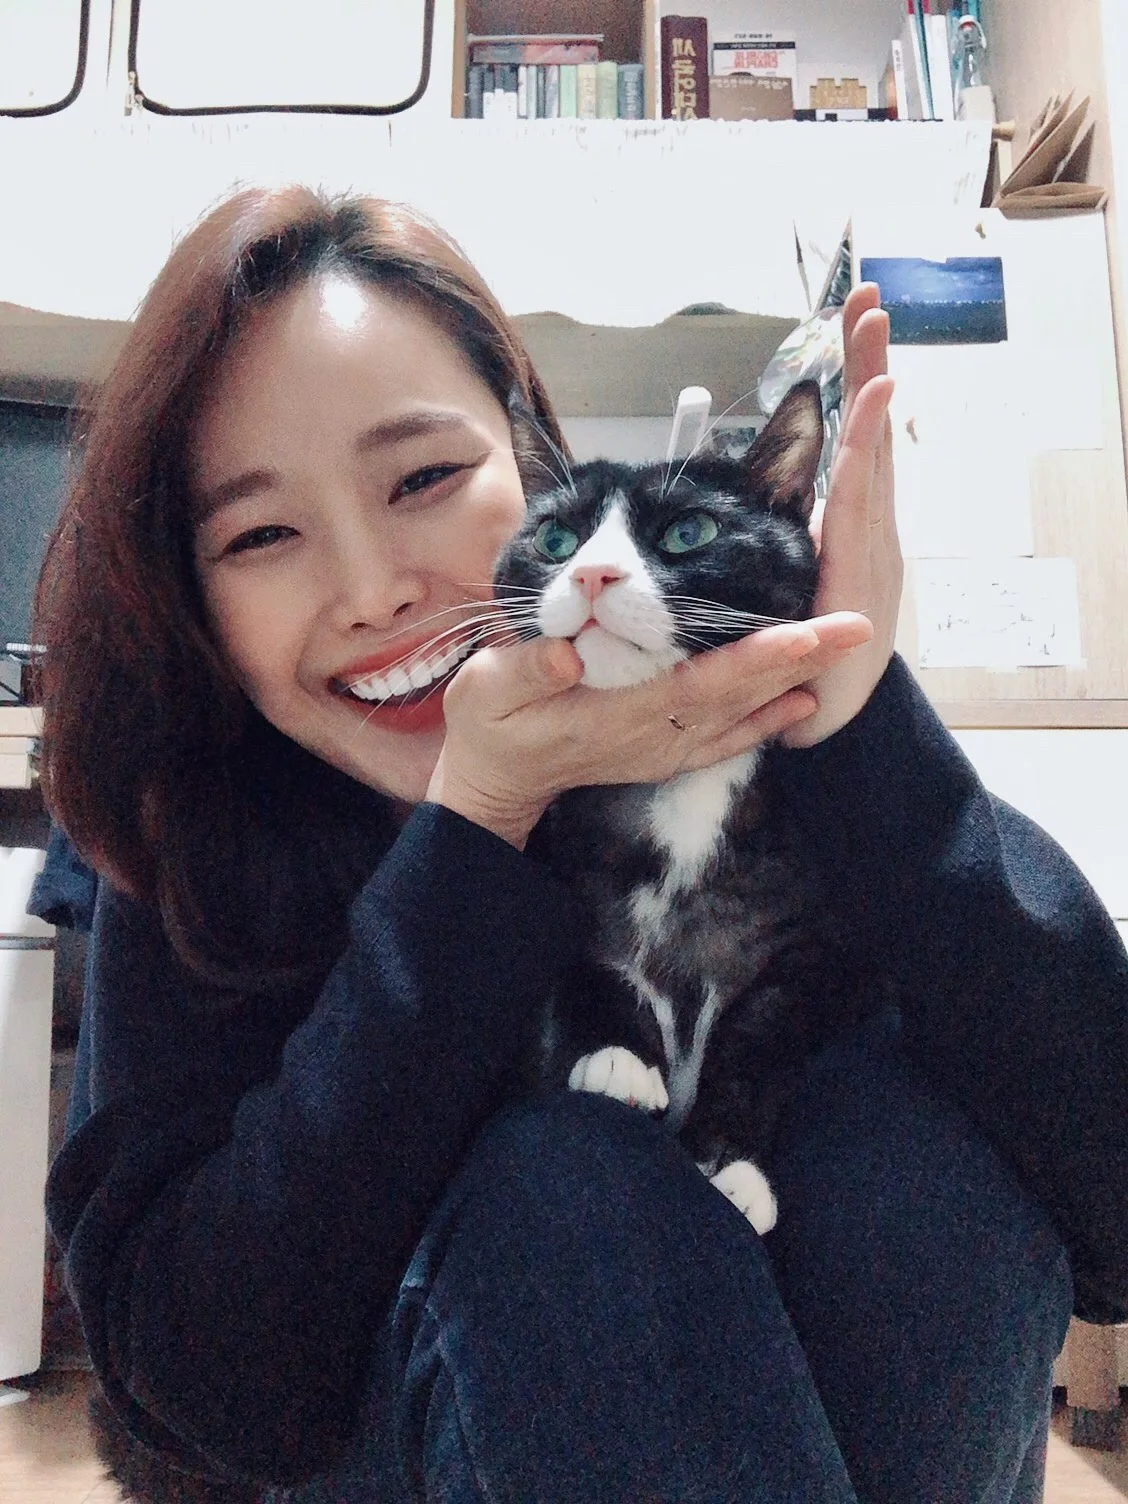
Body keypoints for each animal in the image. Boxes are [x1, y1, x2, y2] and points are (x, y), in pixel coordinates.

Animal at [495, 380, 874, 1234]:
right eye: (557, 538)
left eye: (688, 532)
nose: (593, 575)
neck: (682, 786)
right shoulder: (558, 868)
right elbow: (589, 962)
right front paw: (616, 1059)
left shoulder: (816, 944)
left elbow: (761, 1039)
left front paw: (731, 1166)